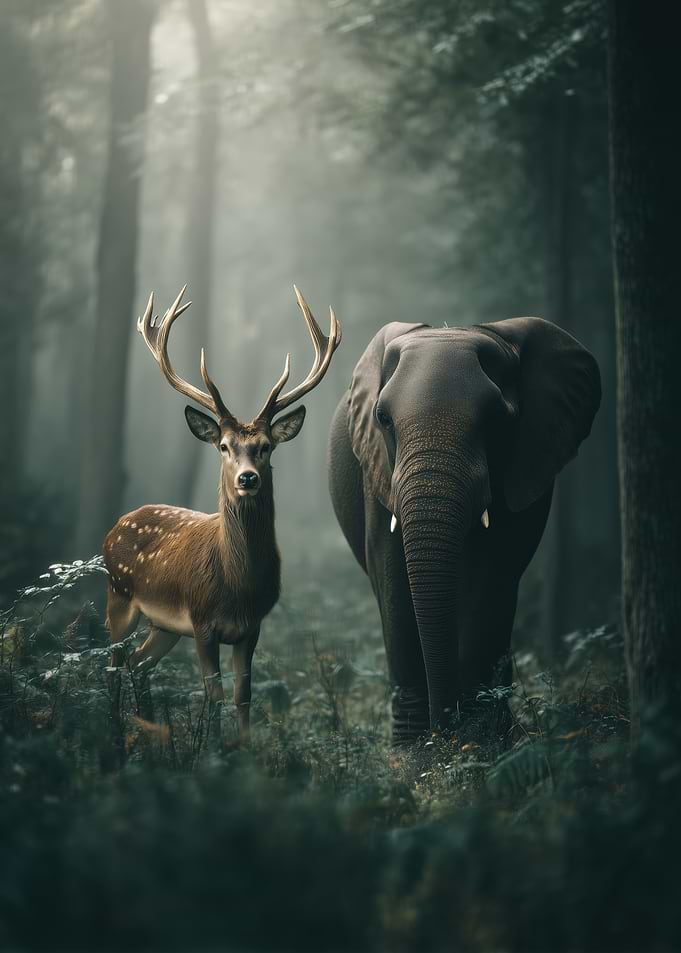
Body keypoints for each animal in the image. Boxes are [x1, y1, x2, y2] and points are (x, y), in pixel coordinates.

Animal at [103, 285, 341, 742]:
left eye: (266, 446)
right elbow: (212, 695)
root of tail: (115, 527)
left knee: (139, 662)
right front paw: (211, 750)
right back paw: (113, 736)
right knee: (112, 665)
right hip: (118, 595)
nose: (247, 478)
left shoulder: (253, 626)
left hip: (162, 624)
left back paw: (150, 730)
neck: (237, 586)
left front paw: (242, 751)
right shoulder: (201, 622)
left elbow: (242, 695)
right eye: (225, 446)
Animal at [327, 317, 601, 745]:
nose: (443, 729)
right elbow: (392, 578)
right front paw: (415, 752)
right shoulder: (376, 469)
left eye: (495, 420)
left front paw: (478, 741)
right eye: (383, 418)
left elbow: (494, 575)